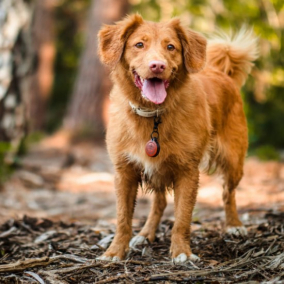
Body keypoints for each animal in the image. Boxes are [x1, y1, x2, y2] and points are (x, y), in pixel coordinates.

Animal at [96, 14, 258, 262]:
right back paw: (145, 234)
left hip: (233, 161)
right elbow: (123, 218)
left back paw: (234, 225)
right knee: (160, 202)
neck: (153, 114)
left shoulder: (187, 172)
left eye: (171, 47)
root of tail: (220, 72)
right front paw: (115, 251)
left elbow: (182, 218)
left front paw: (182, 252)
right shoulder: (124, 172)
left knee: (227, 193)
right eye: (139, 44)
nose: (157, 65)